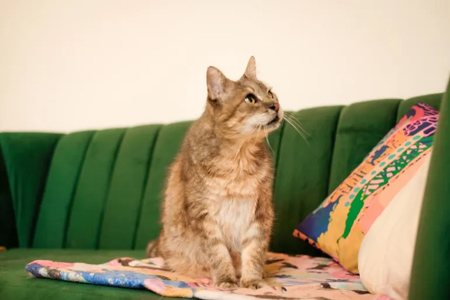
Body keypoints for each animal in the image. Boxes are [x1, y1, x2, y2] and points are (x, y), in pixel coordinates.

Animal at [146, 57, 284, 290]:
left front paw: (253, 280)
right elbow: (218, 254)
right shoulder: (203, 216)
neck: (239, 157)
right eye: (250, 98)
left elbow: (254, 252)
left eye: (270, 93)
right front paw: (227, 279)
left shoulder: (260, 212)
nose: (276, 105)